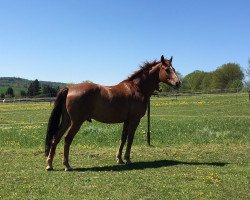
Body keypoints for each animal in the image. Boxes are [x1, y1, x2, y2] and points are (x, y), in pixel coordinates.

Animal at [45, 55, 181, 170]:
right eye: (167, 69)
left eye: (173, 68)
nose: (178, 83)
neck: (137, 88)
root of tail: (69, 88)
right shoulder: (134, 120)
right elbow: (130, 139)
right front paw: (127, 159)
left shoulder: (126, 121)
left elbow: (123, 138)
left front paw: (119, 159)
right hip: (76, 122)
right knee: (67, 139)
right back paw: (67, 165)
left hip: (67, 121)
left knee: (56, 138)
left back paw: (49, 164)